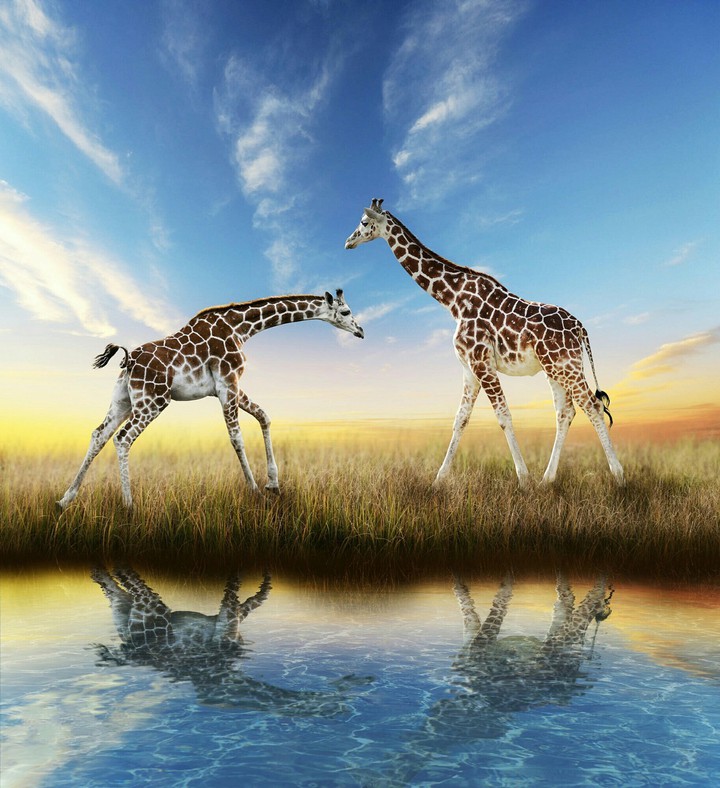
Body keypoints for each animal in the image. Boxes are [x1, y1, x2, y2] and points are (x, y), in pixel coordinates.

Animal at [57, 290, 364, 510]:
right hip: (154, 400)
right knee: (122, 438)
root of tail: (129, 359)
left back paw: (65, 500)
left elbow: (264, 416)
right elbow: (236, 438)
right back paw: (129, 506)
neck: (243, 328)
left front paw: (273, 485)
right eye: (346, 311)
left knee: (99, 434)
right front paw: (255, 491)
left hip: (123, 400)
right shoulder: (228, 382)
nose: (360, 331)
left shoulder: (231, 387)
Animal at [345, 198, 624, 486]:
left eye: (364, 222)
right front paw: (438, 480)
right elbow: (460, 419)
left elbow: (503, 416)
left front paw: (523, 479)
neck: (452, 300)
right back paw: (547, 479)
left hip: (565, 365)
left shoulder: (481, 361)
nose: (348, 242)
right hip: (555, 368)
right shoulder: (469, 368)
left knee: (593, 405)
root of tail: (581, 328)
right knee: (566, 412)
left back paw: (619, 476)